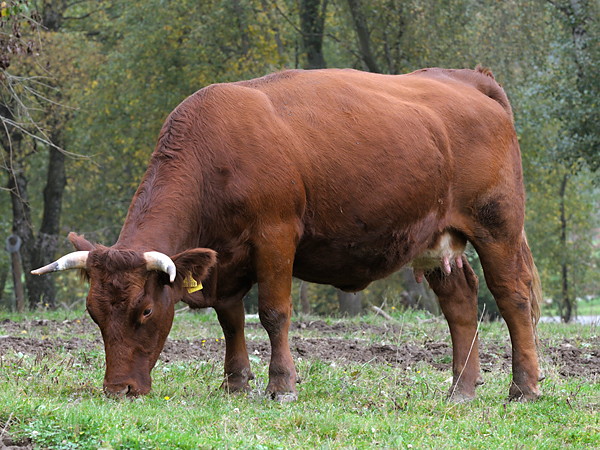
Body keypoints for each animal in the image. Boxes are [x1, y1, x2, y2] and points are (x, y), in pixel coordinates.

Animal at [32, 66, 544, 400]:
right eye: (94, 314)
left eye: (143, 311)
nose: (118, 389)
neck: (214, 154)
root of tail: (468, 78)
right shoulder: (224, 258)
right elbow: (230, 317)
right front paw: (236, 383)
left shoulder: (275, 235)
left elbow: (274, 313)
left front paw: (281, 385)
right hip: (437, 238)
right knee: (461, 303)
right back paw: (461, 390)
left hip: (498, 225)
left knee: (512, 297)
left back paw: (524, 388)